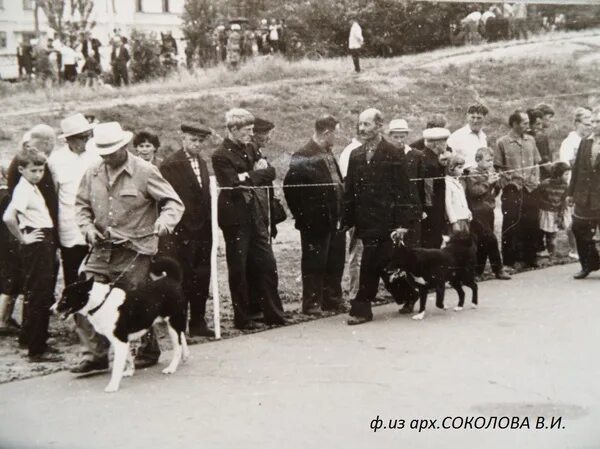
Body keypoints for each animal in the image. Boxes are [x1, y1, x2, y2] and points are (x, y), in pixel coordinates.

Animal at [51, 258, 189, 390]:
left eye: (65, 298)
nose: (51, 309)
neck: (101, 302)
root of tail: (172, 279)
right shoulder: (120, 340)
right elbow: (128, 358)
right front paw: (129, 371)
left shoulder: (120, 341)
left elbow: (117, 366)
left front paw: (113, 386)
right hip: (174, 323)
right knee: (182, 337)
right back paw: (185, 356)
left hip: (173, 323)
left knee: (177, 347)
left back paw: (171, 368)